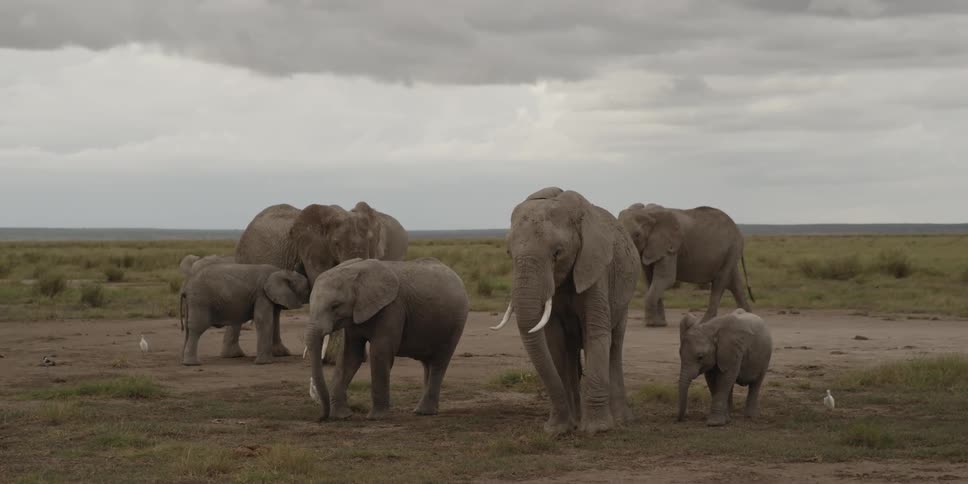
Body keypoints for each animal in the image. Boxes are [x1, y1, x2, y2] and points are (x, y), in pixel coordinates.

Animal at [179, 263, 310, 366]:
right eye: (307, 290)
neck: (280, 271)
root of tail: (185, 288)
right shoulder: (261, 294)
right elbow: (263, 320)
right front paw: (265, 363)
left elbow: (275, 319)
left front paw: (280, 355)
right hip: (200, 301)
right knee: (197, 327)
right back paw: (192, 364)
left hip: (192, 302)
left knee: (188, 328)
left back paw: (184, 361)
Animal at [305, 258, 468, 421]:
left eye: (335, 306)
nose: (320, 418)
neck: (356, 272)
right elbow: (350, 356)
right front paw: (342, 416)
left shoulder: (392, 308)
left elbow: (380, 353)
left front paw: (375, 417)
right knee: (427, 363)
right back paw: (425, 410)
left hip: (455, 324)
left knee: (439, 362)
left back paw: (424, 411)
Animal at [492, 187, 639, 435]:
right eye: (508, 253)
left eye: (557, 253)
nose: (551, 427)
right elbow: (554, 340)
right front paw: (560, 429)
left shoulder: (596, 269)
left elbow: (595, 332)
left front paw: (596, 430)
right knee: (571, 351)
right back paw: (579, 419)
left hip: (624, 299)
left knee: (614, 344)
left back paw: (620, 421)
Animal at [618, 203, 754, 327]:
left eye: (637, 235)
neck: (649, 213)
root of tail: (738, 230)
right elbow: (650, 280)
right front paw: (659, 324)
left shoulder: (670, 247)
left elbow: (665, 279)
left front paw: (652, 324)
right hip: (730, 252)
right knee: (734, 283)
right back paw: (748, 319)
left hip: (732, 248)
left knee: (720, 282)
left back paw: (703, 323)